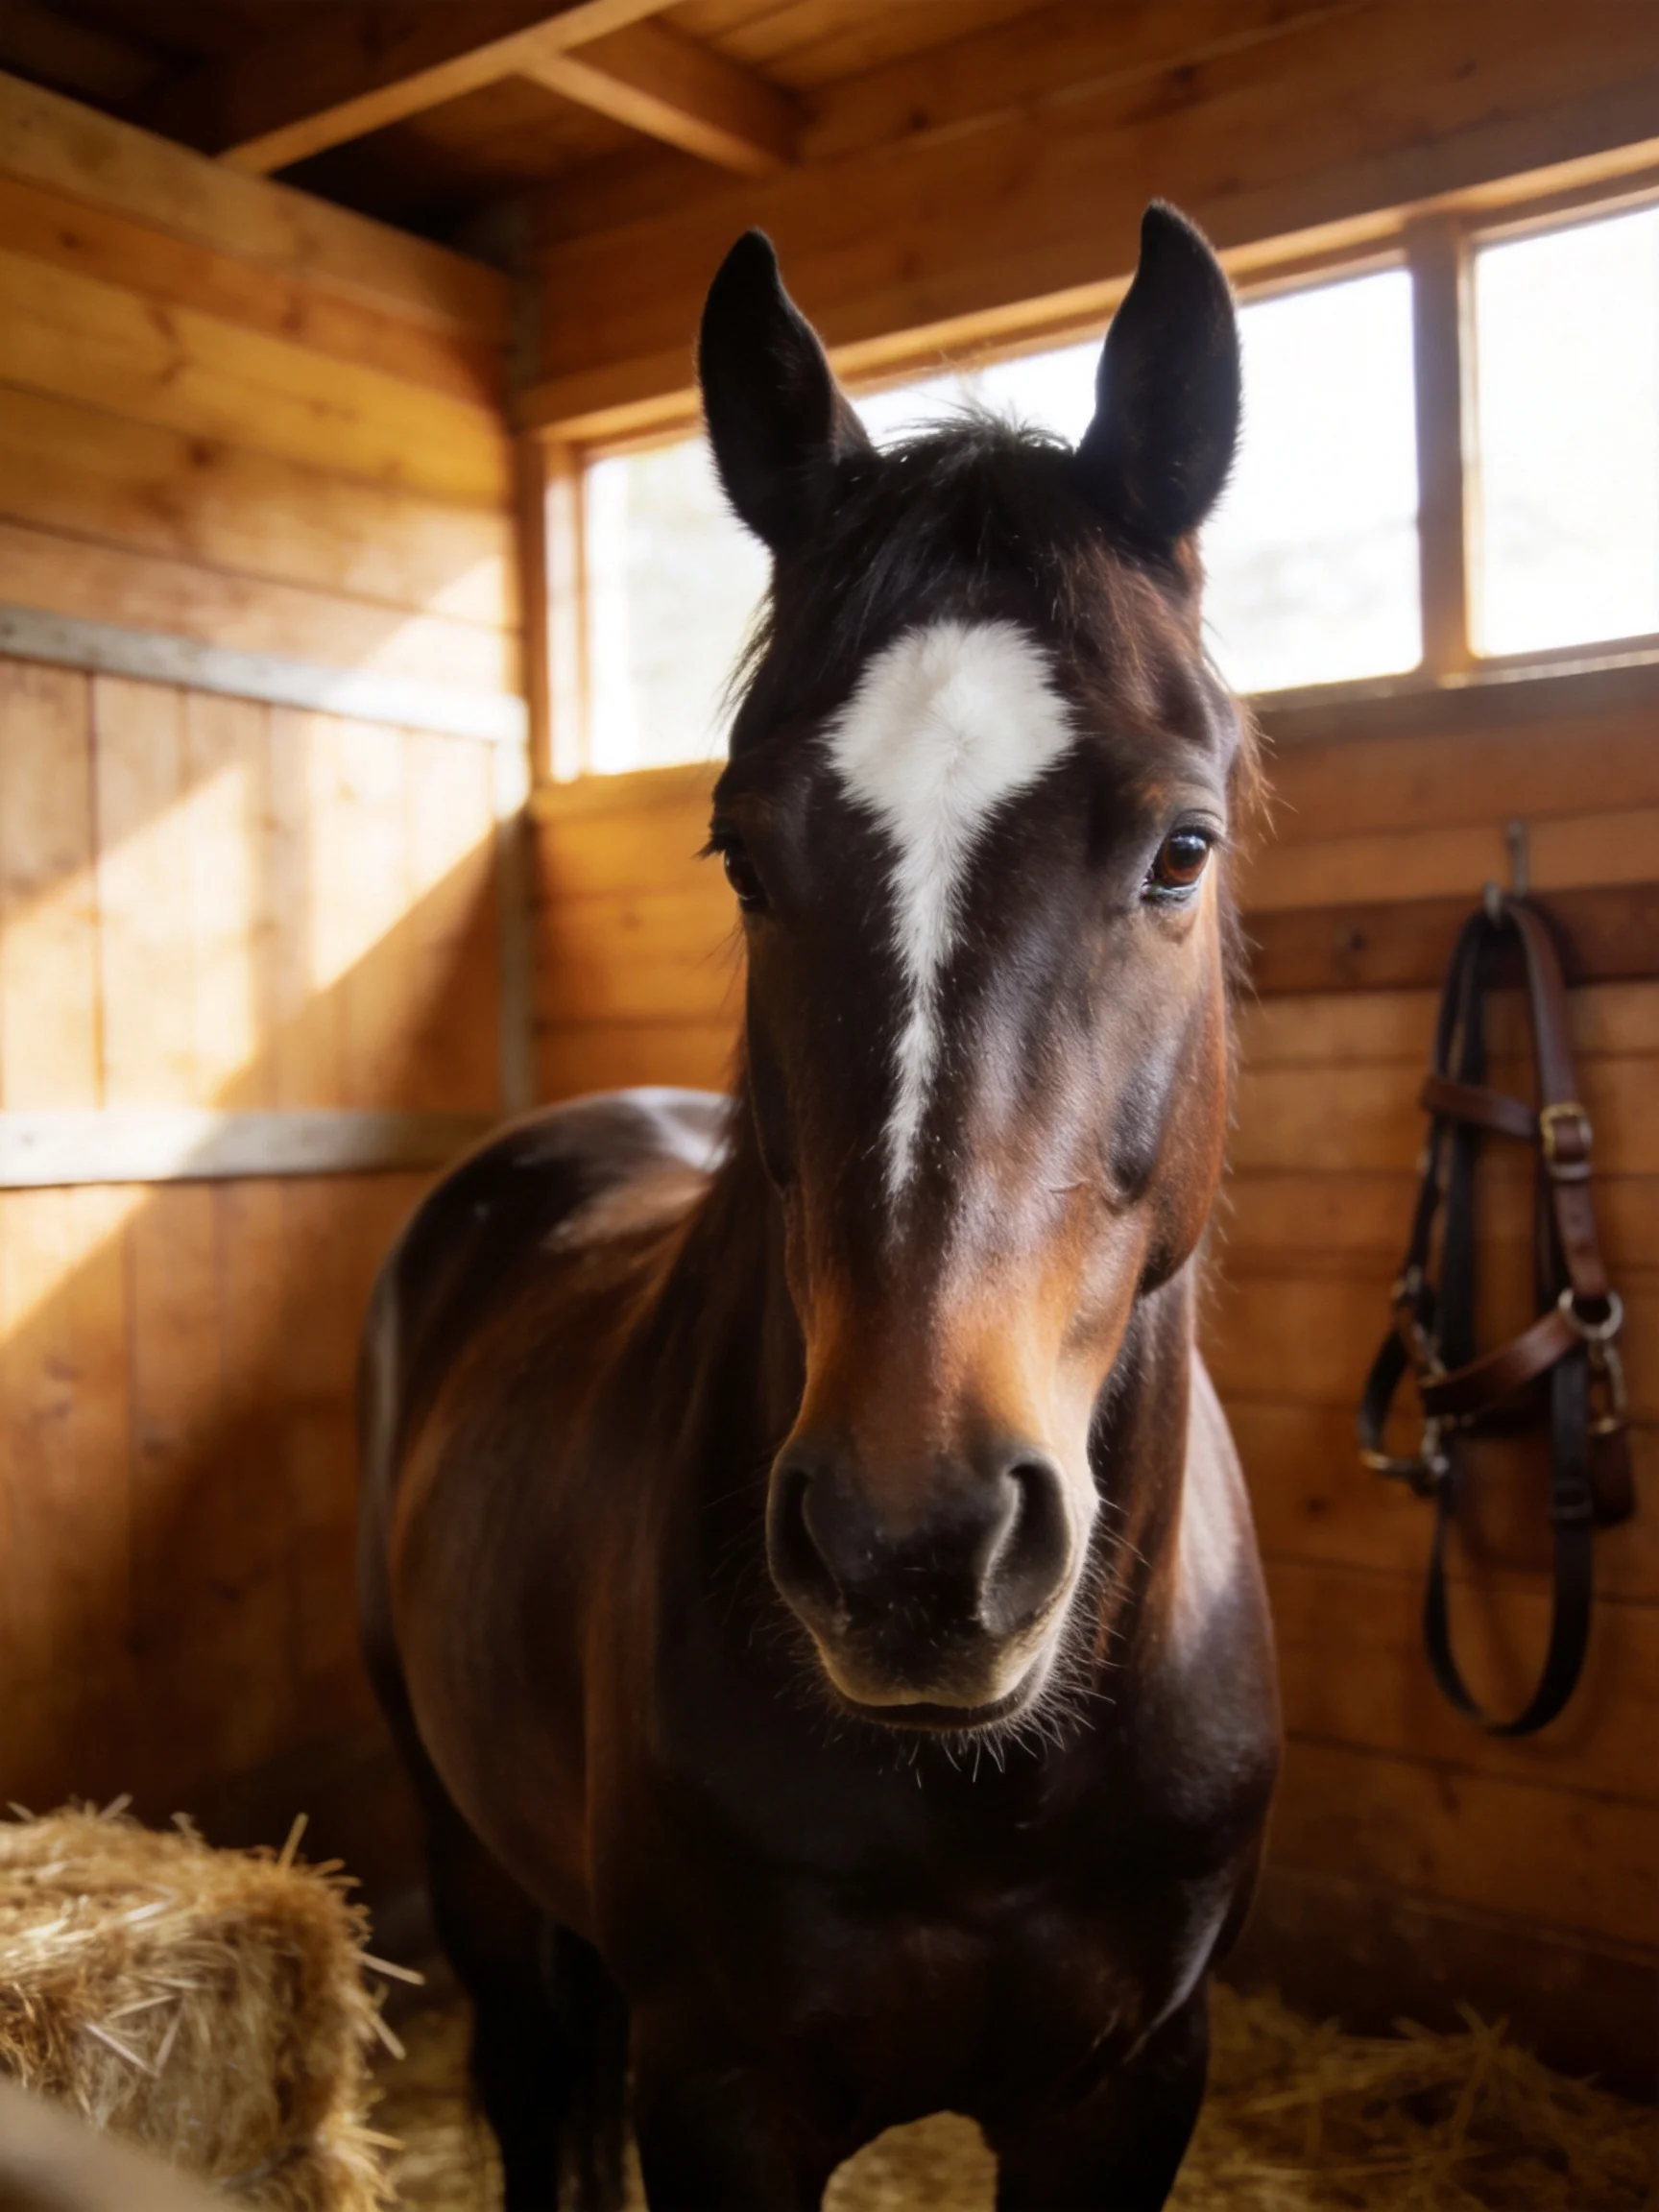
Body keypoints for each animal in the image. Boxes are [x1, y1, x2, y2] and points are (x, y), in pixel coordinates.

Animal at [359, 201, 1280, 2212]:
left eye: (1180, 845)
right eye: (740, 852)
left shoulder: (1135, 2083)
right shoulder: (724, 2091)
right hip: (473, 1864)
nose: (908, 1549)